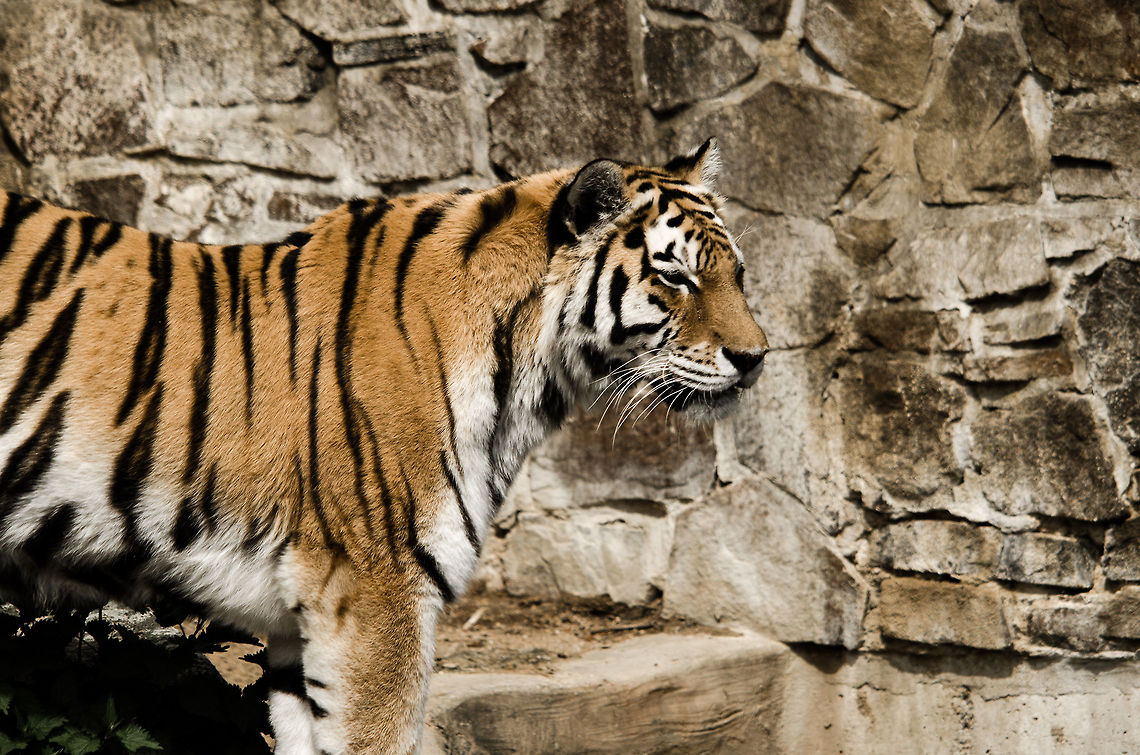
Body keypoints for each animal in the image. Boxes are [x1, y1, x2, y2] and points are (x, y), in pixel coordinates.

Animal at [0, 138, 768, 753]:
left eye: (736, 273)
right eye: (675, 276)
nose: (757, 357)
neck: (525, 371)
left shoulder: (302, 622)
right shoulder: (378, 594)